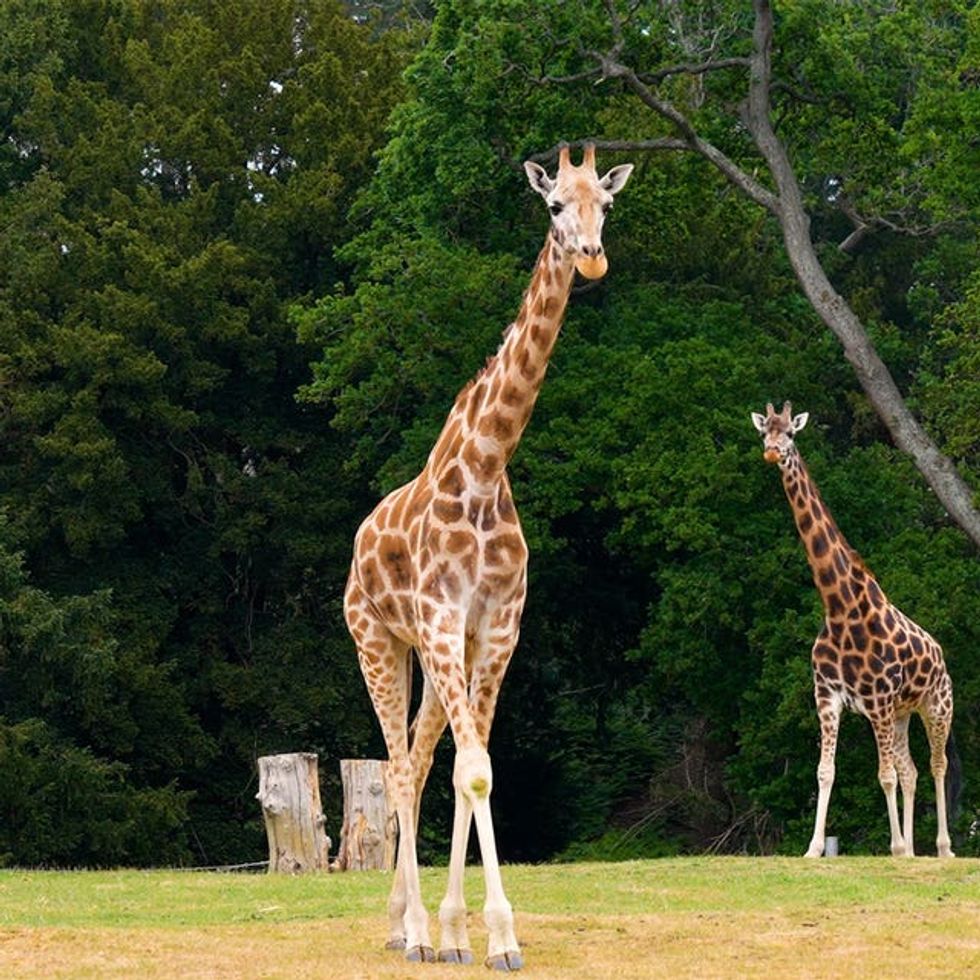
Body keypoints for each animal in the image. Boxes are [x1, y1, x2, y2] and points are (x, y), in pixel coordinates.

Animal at [344, 144, 633, 969]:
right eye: (554, 206)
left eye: (605, 204)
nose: (592, 256)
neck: (485, 465)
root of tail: (358, 540)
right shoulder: (444, 619)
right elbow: (474, 773)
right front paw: (487, 935)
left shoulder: (496, 627)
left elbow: (473, 771)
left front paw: (465, 930)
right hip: (377, 640)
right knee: (396, 768)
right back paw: (409, 932)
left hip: (431, 656)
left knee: (417, 762)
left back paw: (407, 923)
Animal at [751, 401, 954, 859]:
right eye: (764, 432)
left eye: (791, 433)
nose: (772, 452)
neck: (839, 609)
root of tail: (940, 654)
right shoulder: (827, 696)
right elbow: (825, 771)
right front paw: (813, 848)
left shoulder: (877, 700)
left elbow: (884, 775)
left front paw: (894, 847)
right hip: (902, 714)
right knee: (912, 769)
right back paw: (913, 850)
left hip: (936, 705)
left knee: (937, 764)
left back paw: (942, 848)